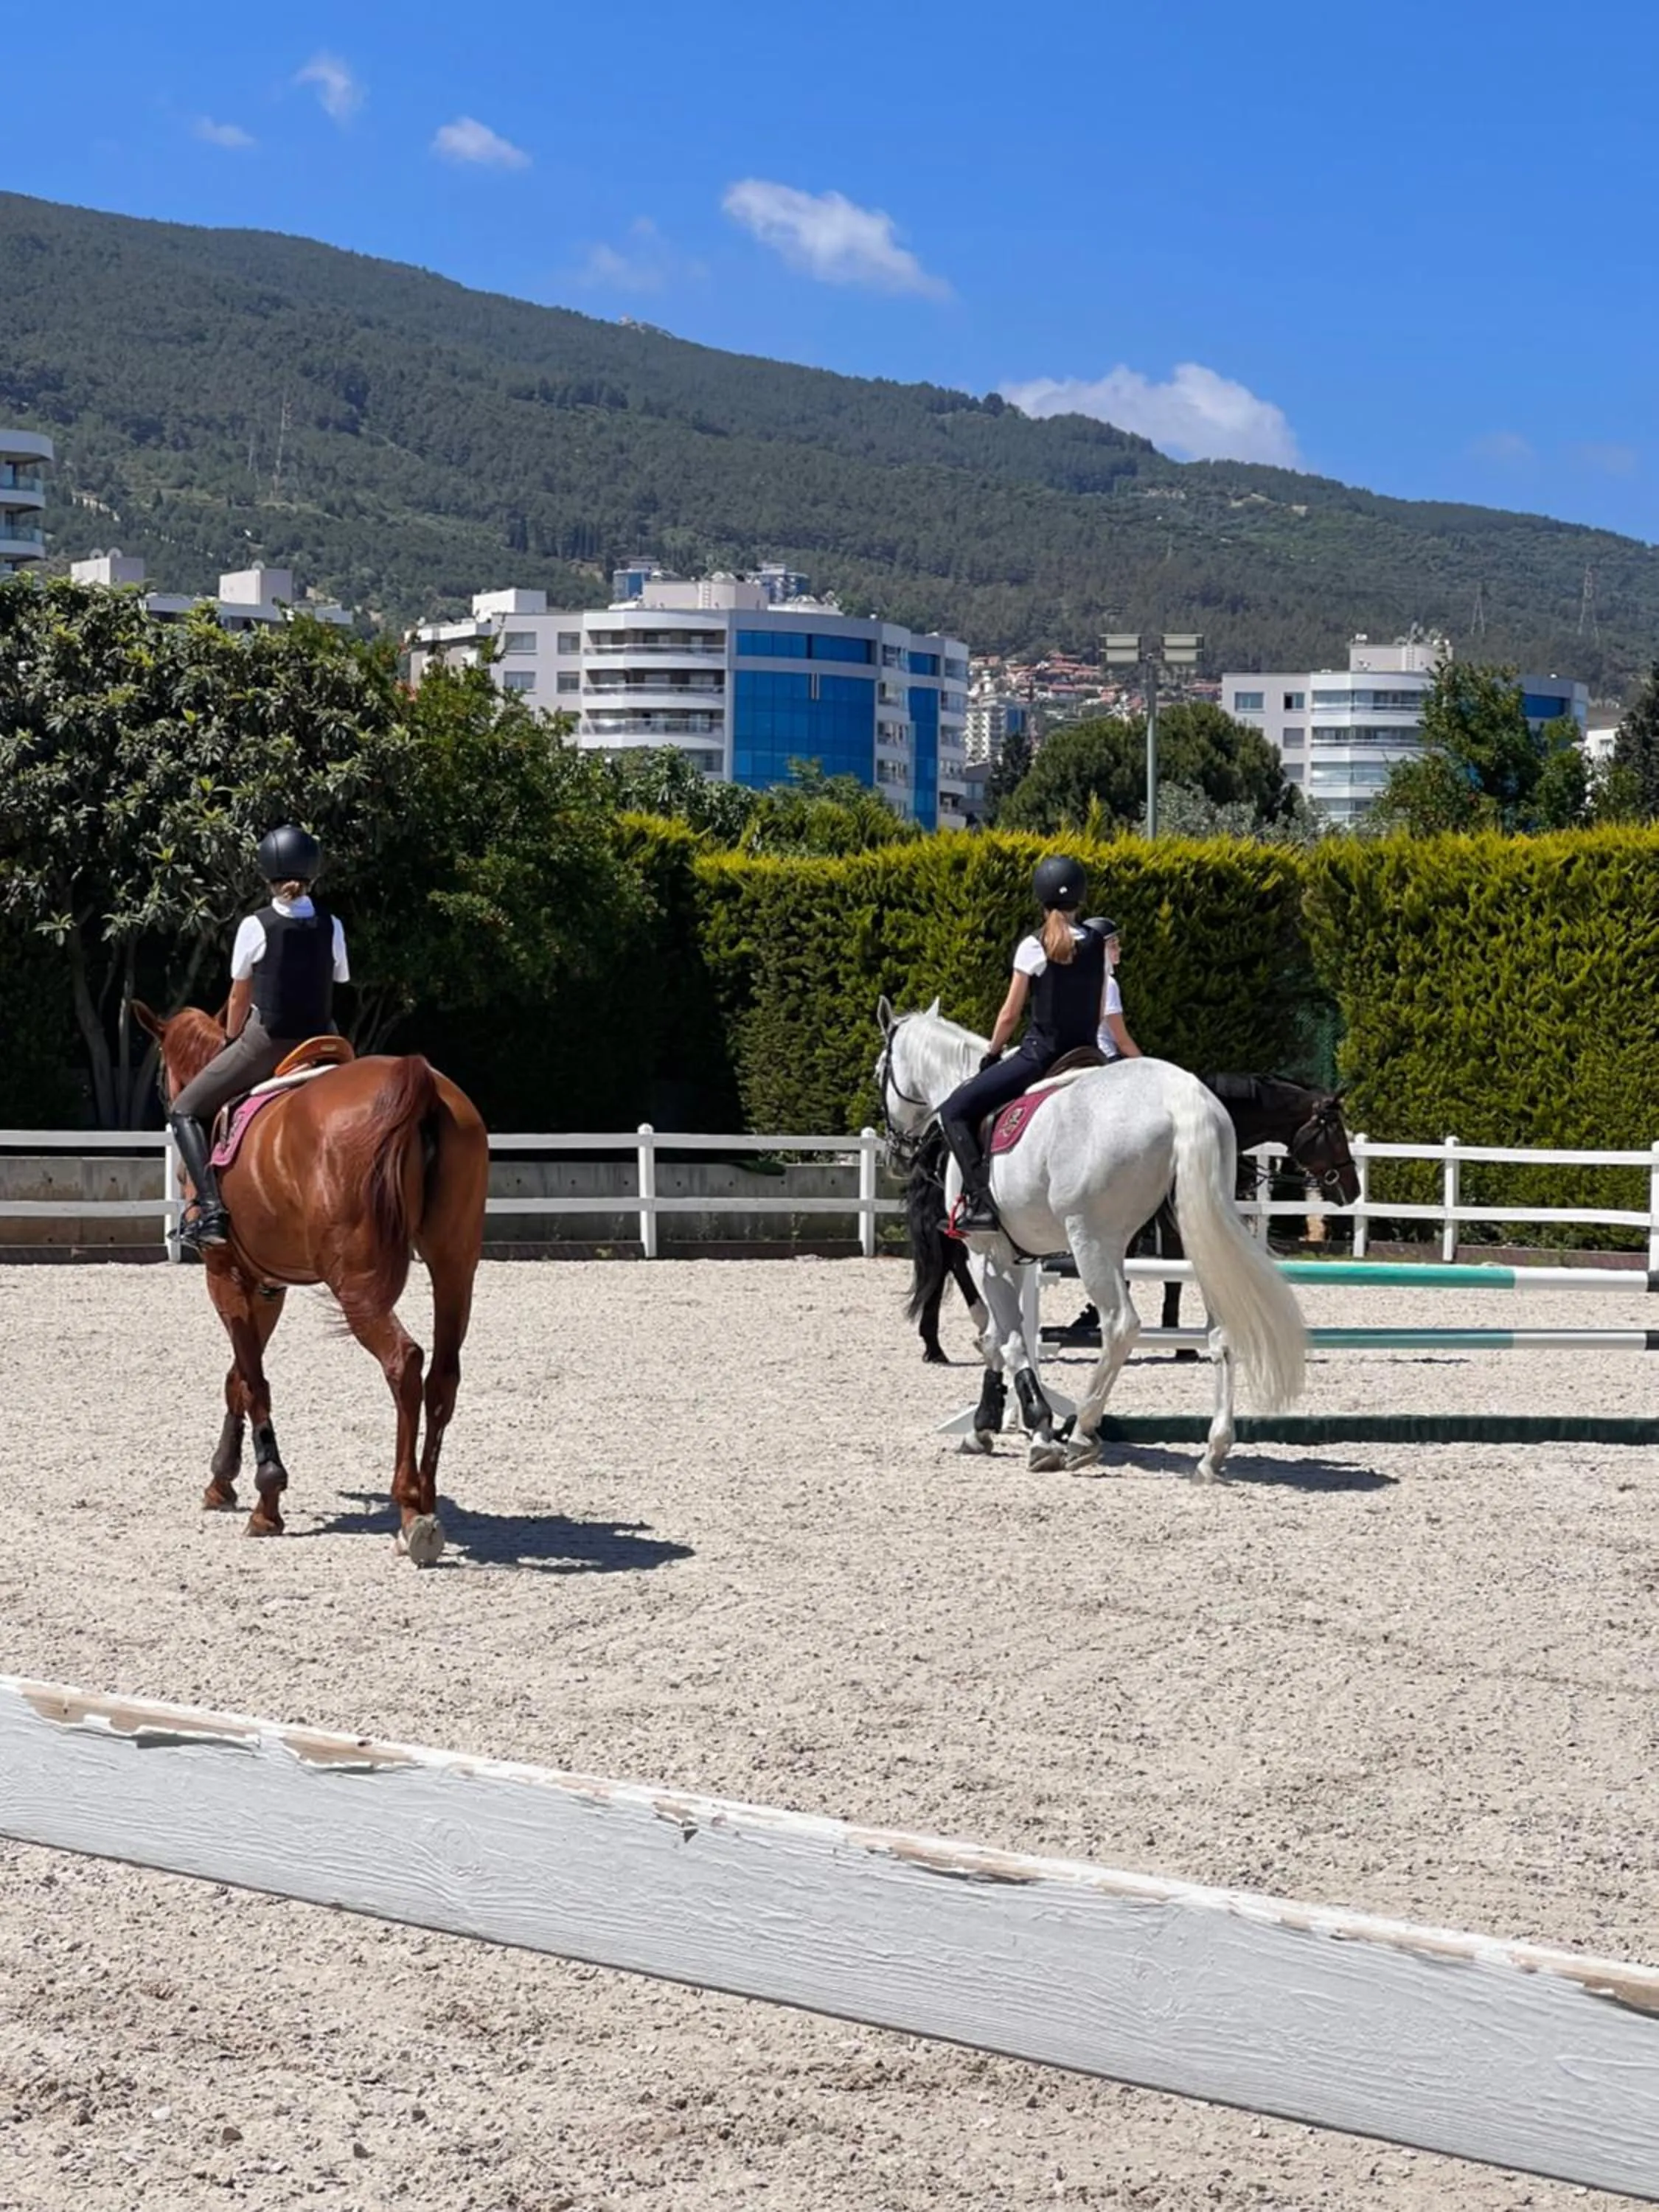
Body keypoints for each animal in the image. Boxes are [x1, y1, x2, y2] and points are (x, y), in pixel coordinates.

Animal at [134, 1002, 490, 1563]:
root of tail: (418, 1082)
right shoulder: (267, 1285)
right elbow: (238, 1376)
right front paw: (223, 1481)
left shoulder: (224, 1276)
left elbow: (252, 1382)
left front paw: (266, 1499)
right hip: (454, 1267)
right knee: (443, 1375)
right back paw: (428, 1501)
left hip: (357, 1286)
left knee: (404, 1362)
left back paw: (410, 1509)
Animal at [876, 999, 1307, 1480]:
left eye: (879, 1071)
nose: (896, 1155)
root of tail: (1181, 1098)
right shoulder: (1016, 1257)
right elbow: (1002, 1336)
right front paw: (994, 1424)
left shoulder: (987, 1254)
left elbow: (1005, 1338)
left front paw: (1025, 1429)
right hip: (1197, 1238)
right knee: (1220, 1331)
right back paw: (1213, 1451)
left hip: (1092, 1242)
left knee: (1120, 1325)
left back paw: (1082, 1432)